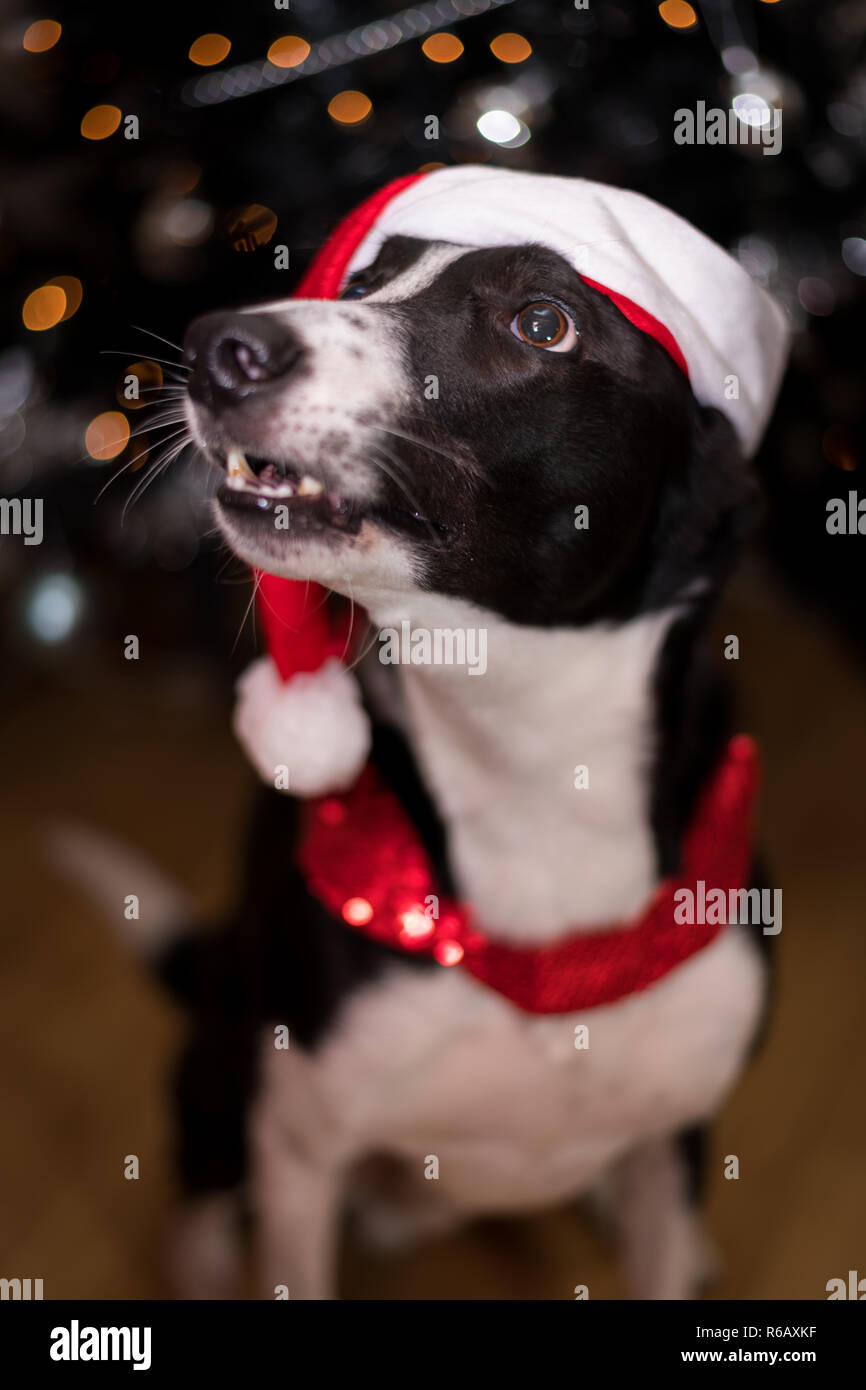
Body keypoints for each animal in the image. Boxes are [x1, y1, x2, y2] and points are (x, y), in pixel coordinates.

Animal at [166, 168, 789, 1295]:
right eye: (361, 281)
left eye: (541, 322)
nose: (219, 345)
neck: (526, 759)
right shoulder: (300, 1144)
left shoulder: (676, 1133)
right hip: (224, 1060)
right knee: (201, 1174)